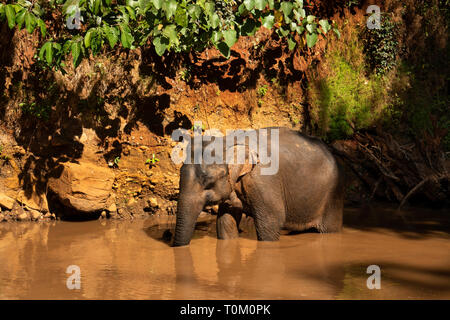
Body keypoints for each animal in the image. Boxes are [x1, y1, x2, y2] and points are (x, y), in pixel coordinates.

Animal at [172, 126, 344, 246]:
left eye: (208, 181)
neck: (229, 141)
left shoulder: (263, 180)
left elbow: (272, 221)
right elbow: (225, 222)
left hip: (333, 195)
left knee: (329, 229)